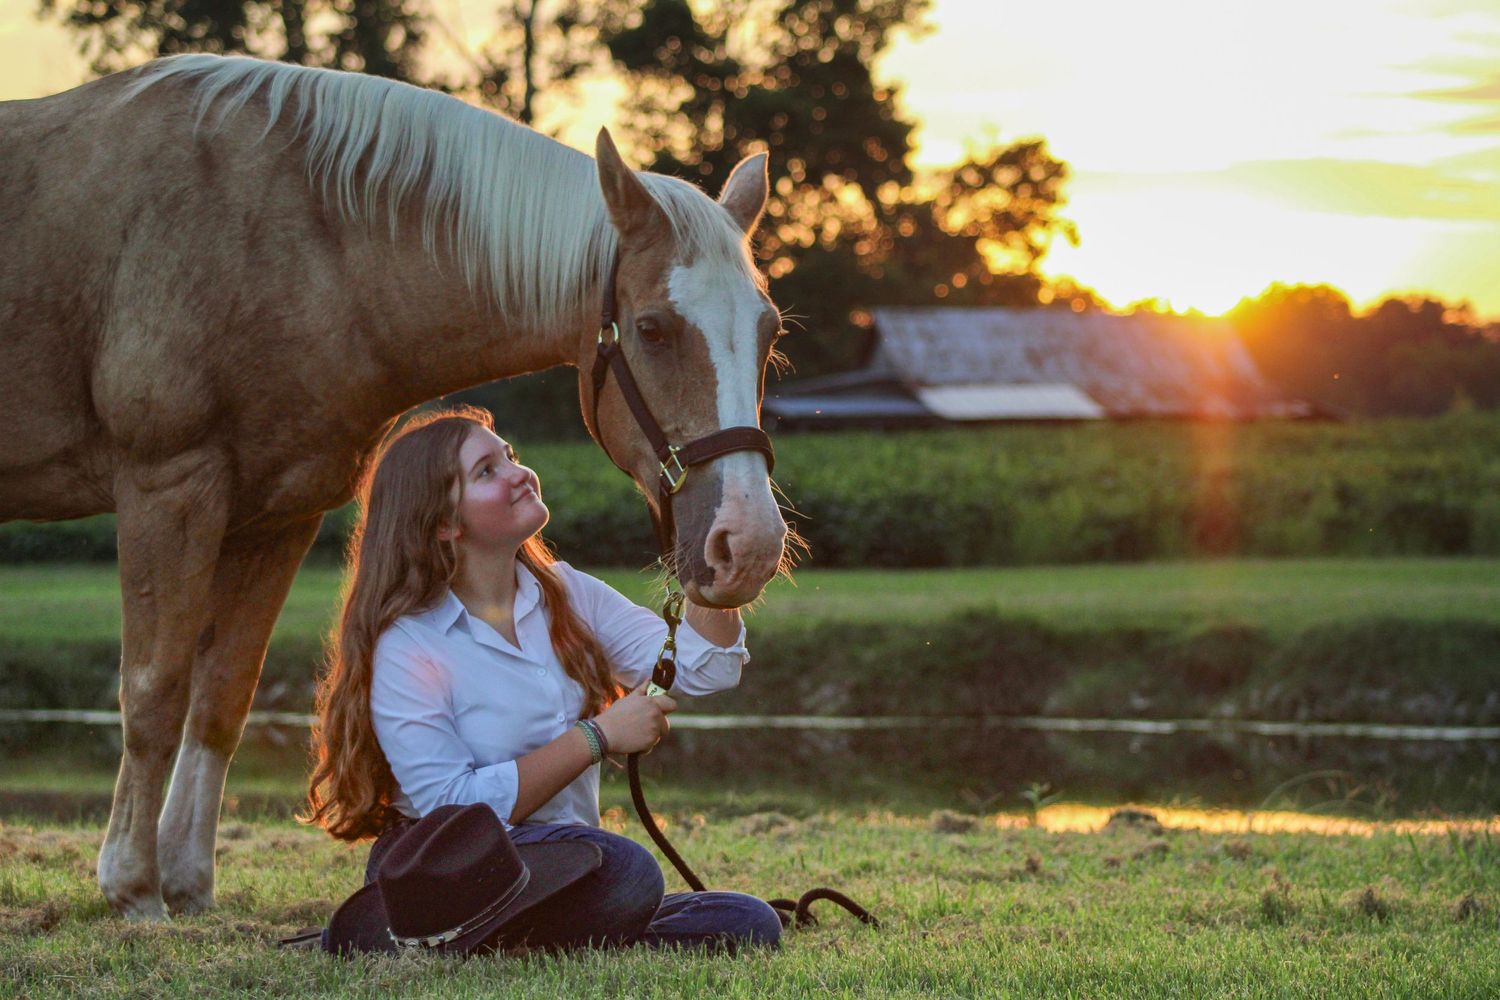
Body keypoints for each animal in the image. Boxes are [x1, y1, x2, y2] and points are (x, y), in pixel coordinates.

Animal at [0, 54, 788, 920]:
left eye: (769, 329)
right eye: (651, 329)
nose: (748, 545)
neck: (291, 238)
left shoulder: (277, 515)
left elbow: (222, 697)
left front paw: (186, 882)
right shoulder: (167, 488)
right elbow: (153, 693)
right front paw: (135, 889)